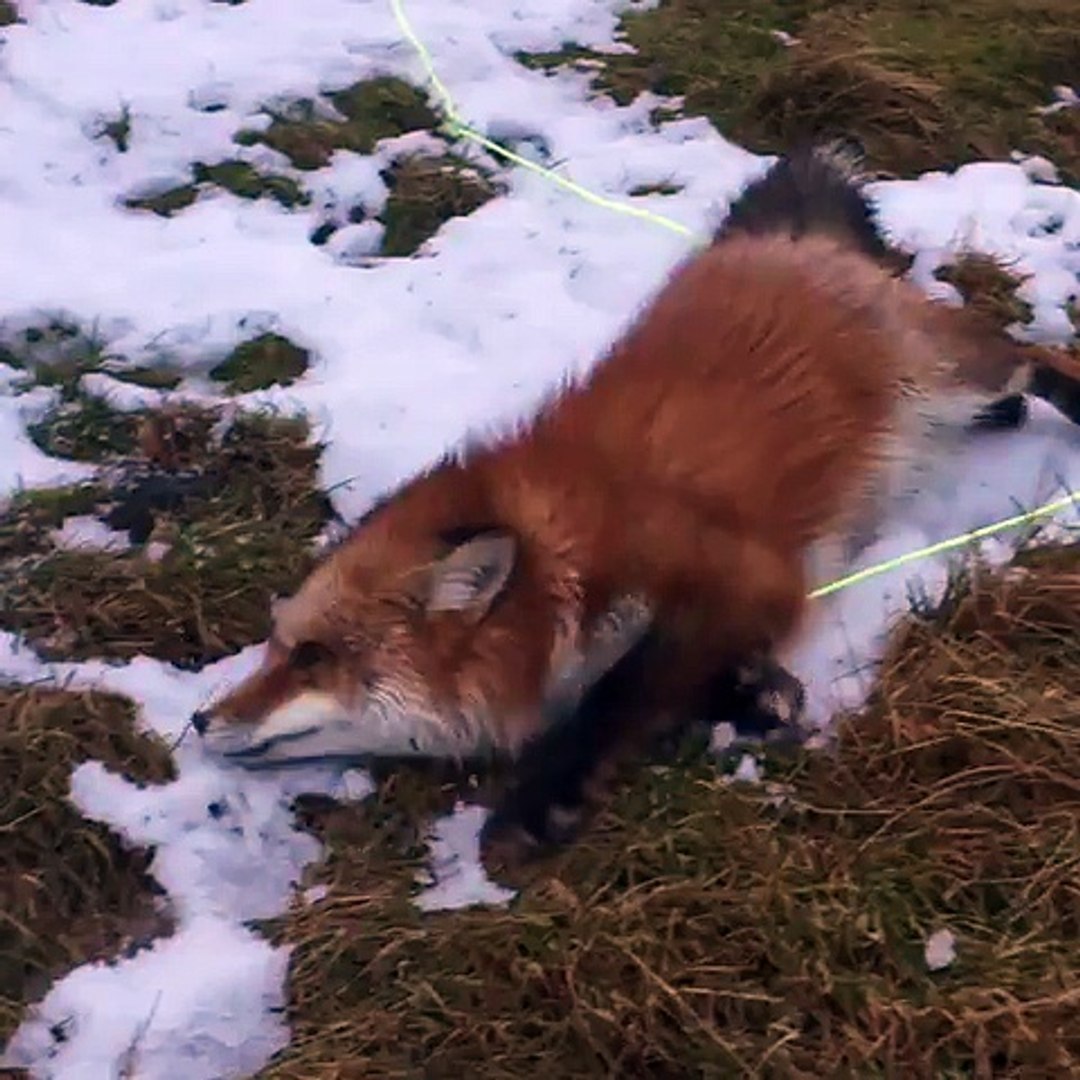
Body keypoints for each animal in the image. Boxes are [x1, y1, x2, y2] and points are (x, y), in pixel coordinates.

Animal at [193, 143, 1080, 866]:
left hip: (948, 375)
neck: (563, 563)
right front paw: (757, 696)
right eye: (275, 647)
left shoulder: (743, 572)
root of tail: (766, 245)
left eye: (312, 657)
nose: (201, 721)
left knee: (1031, 357)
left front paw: (539, 803)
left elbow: (619, 691)